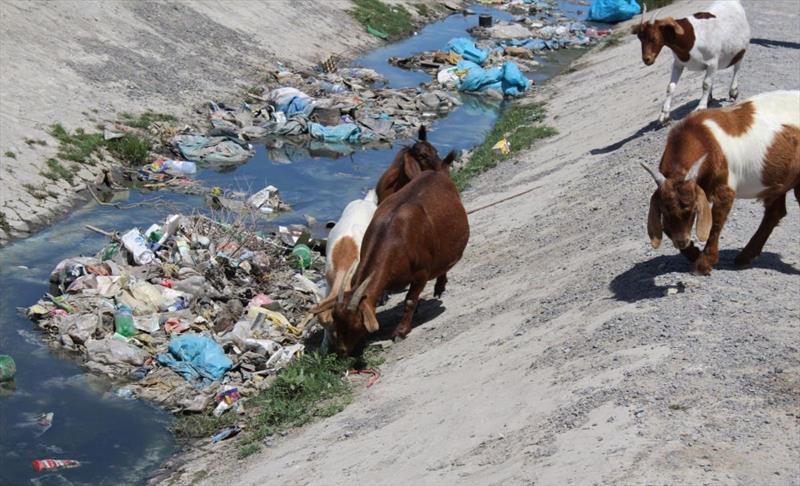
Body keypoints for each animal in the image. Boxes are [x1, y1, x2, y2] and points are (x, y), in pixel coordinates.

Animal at [644, 89, 800, 276]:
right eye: (664, 212)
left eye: (692, 210)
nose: (682, 241)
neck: (703, 138)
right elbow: (668, 229)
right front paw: (693, 253)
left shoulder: (725, 189)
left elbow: (716, 223)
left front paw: (703, 264)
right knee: (775, 212)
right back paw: (745, 256)